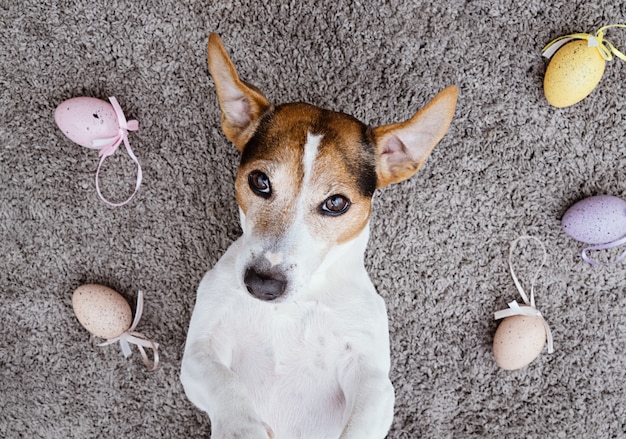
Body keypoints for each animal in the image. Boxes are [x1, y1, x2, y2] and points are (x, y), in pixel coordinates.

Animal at [178, 32, 456, 438]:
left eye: (336, 203)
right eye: (259, 181)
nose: (263, 284)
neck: (293, 305)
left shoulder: (373, 384)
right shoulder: (200, 353)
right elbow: (228, 389)